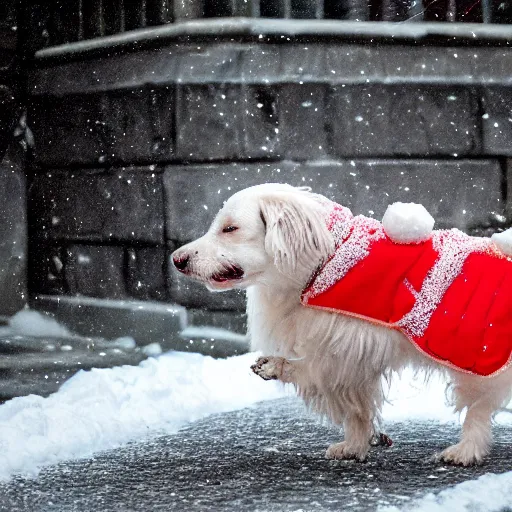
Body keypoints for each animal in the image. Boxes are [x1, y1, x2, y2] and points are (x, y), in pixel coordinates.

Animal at [173, 185, 512, 468]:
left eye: (230, 228)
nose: (177, 259)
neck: (322, 260)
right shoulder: (351, 361)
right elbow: (356, 410)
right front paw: (353, 446)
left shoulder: (345, 352)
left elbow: (321, 378)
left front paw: (275, 366)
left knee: (478, 410)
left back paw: (465, 451)